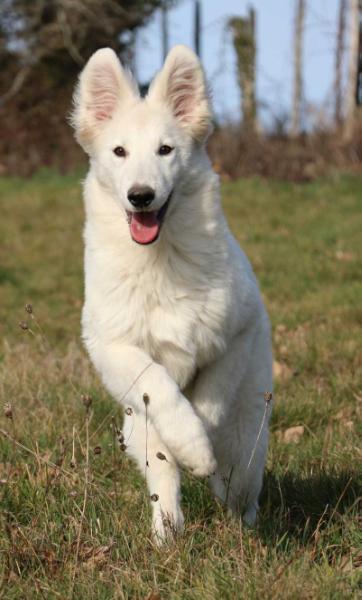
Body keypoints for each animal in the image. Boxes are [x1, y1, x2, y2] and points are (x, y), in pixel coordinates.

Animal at [72, 44, 272, 540]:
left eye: (166, 150)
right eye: (119, 152)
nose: (141, 195)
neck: (159, 261)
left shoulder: (238, 333)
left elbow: (212, 397)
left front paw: (201, 441)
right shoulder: (112, 346)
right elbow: (158, 385)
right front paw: (190, 444)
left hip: (250, 439)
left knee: (242, 486)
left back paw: (242, 523)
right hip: (136, 431)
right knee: (162, 472)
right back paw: (166, 530)